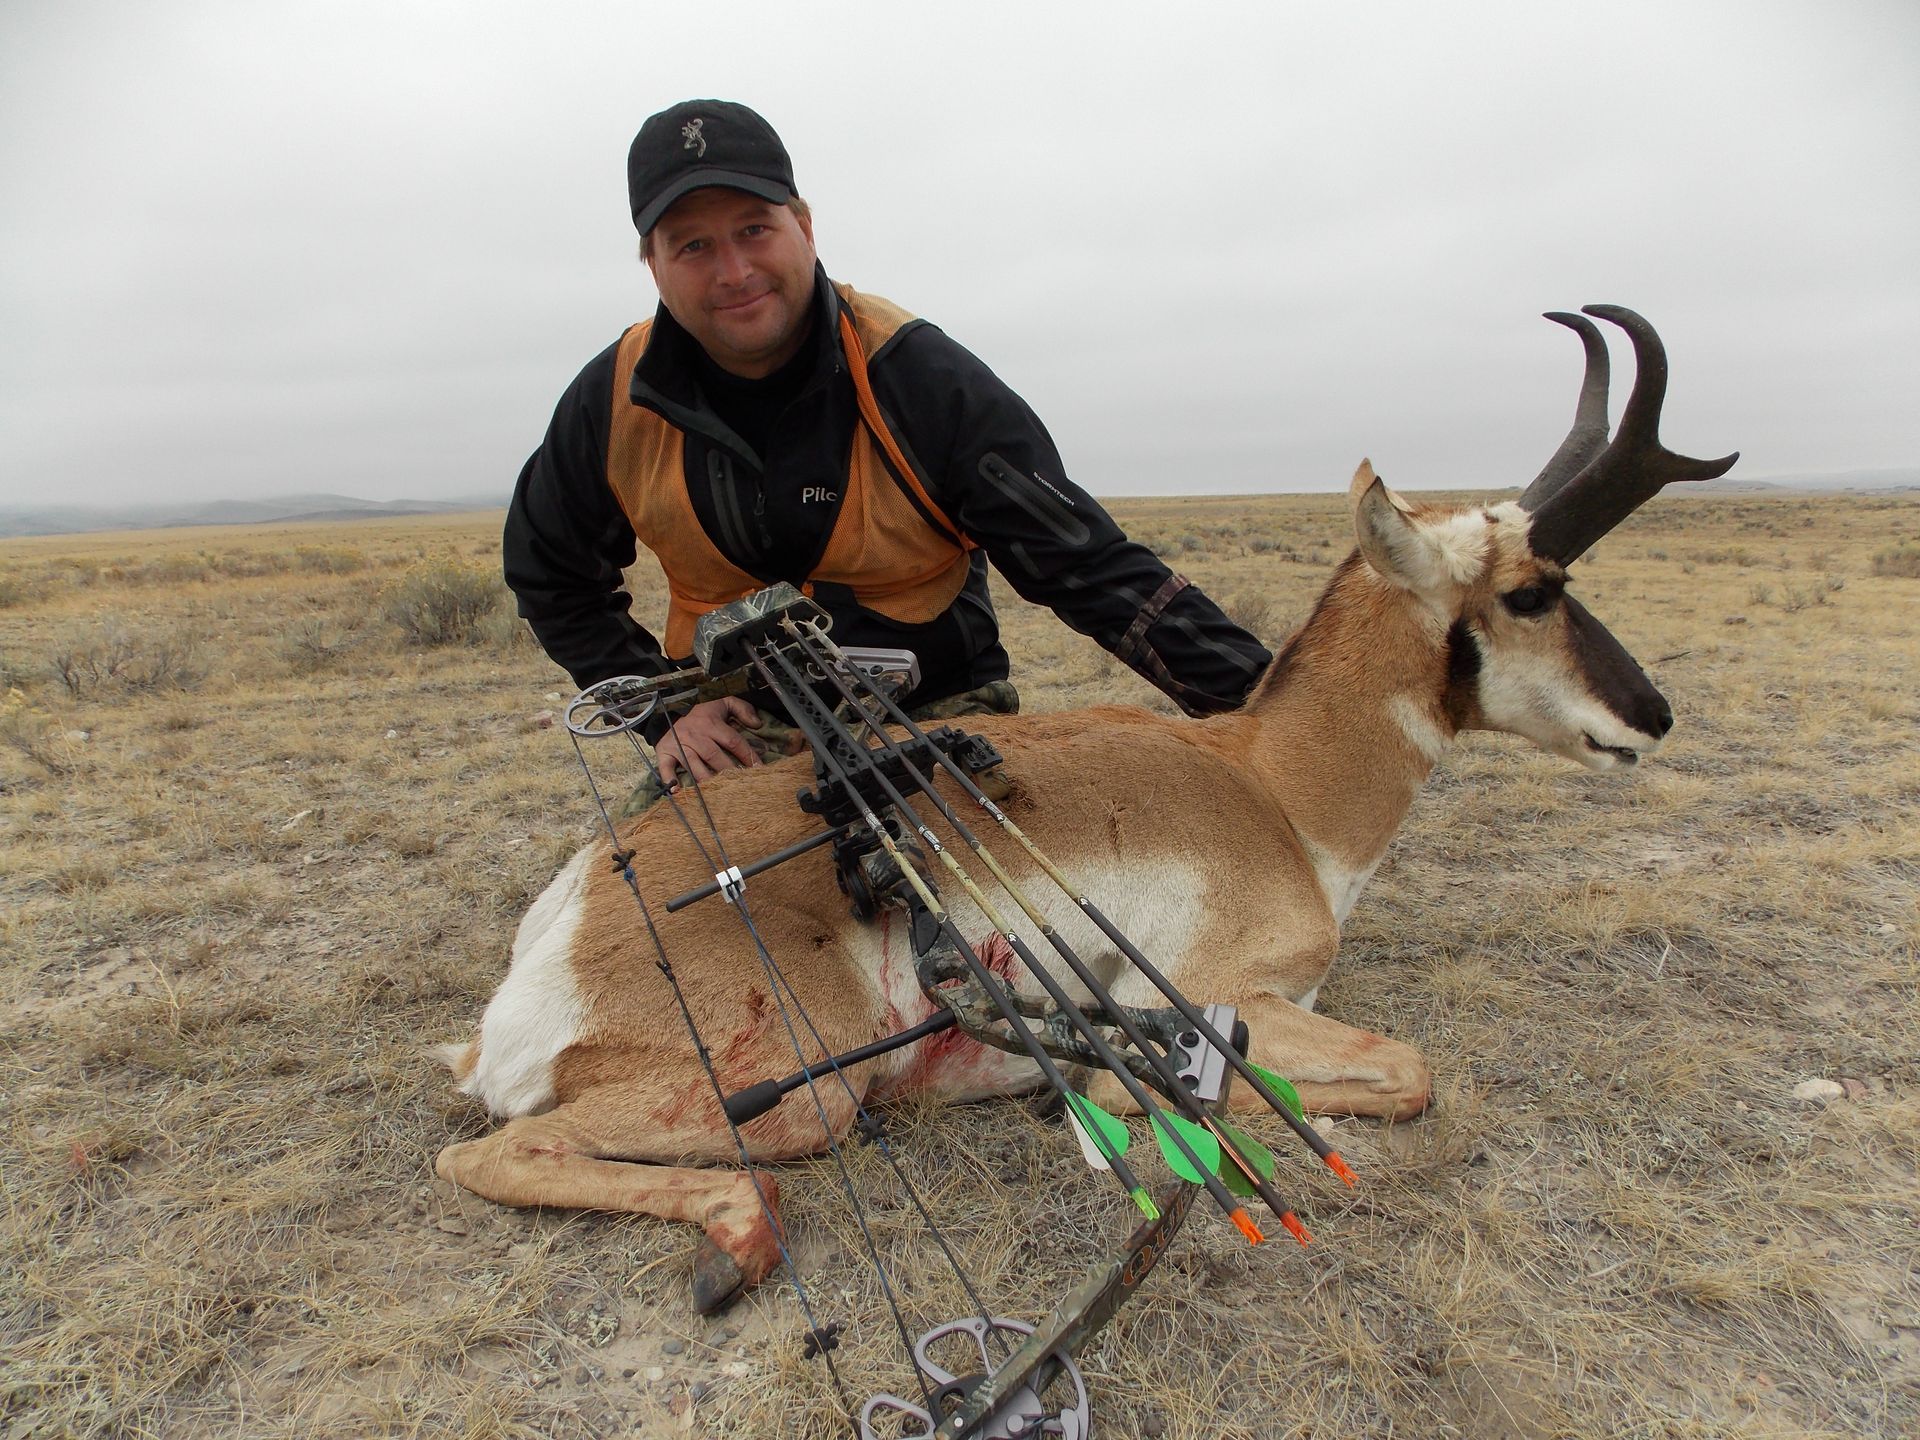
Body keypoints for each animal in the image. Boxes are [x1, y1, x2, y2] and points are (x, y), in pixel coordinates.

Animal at [436, 306, 1735, 1311]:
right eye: (1531, 591)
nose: (1655, 713)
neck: (1270, 786)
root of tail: (575, 919)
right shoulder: (1222, 996)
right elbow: (1405, 1069)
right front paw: (1135, 1095)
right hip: (802, 1087)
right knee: (493, 1153)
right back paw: (737, 1239)